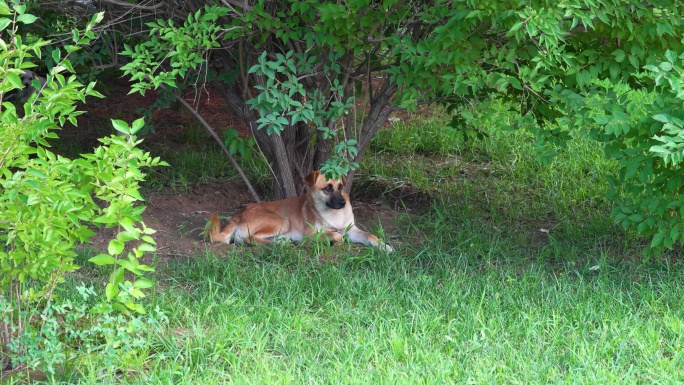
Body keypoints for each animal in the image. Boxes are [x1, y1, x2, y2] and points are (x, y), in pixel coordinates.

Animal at [208, 171, 392, 252]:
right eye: (327, 188)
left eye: (340, 186)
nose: (343, 202)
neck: (334, 215)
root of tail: (237, 215)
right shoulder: (311, 234)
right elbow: (337, 236)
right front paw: (333, 242)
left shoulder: (352, 230)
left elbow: (370, 235)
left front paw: (384, 246)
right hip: (282, 221)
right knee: (250, 239)